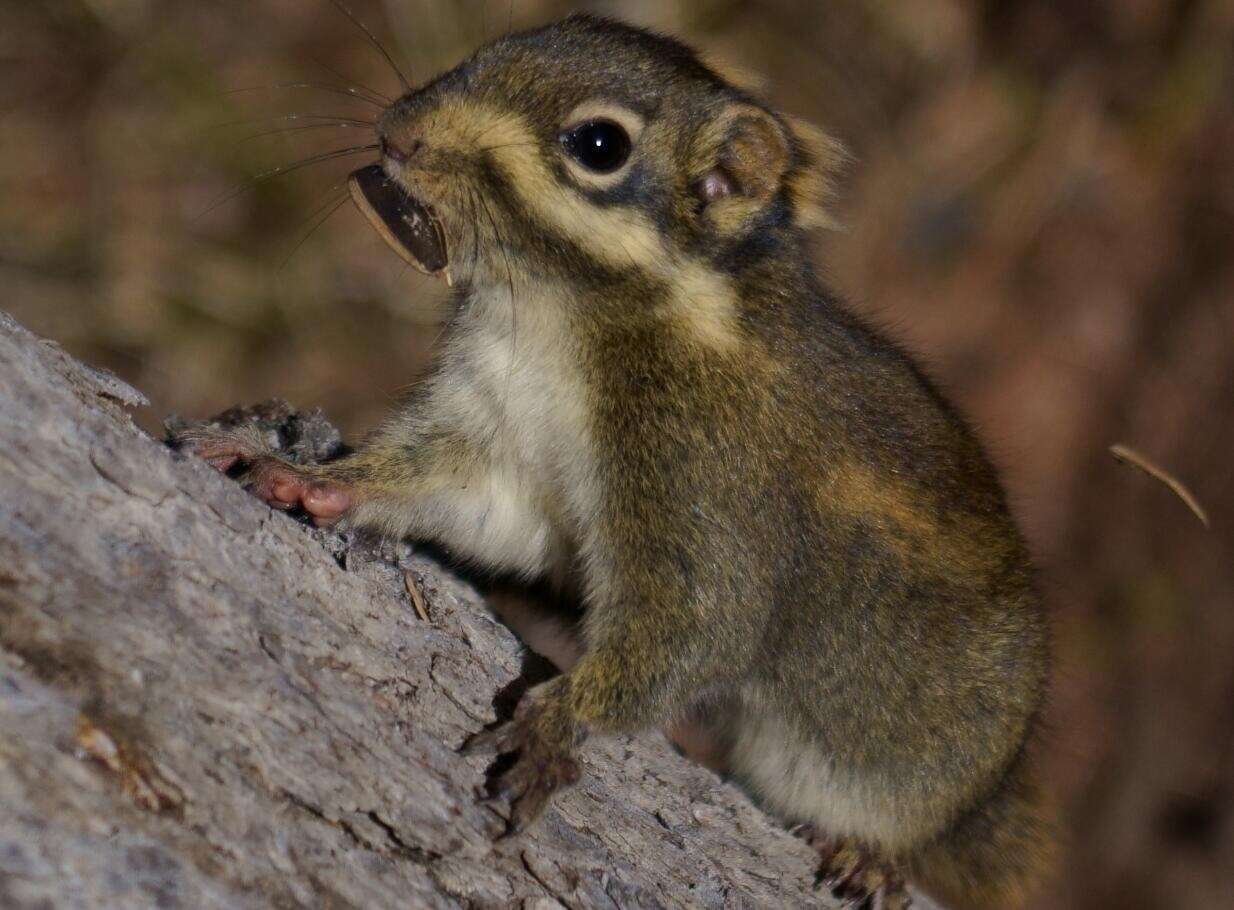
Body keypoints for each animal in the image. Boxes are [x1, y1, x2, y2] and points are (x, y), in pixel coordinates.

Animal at [178, 14, 1056, 908]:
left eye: (599, 144)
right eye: (490, 49)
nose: (398, 132)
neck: (555, 303)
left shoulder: (706, 476)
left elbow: (693, 626)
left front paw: (562, 721)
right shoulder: (492, 436)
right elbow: (446, 490)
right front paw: (312, 480)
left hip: (897, 750)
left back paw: (875, 854)